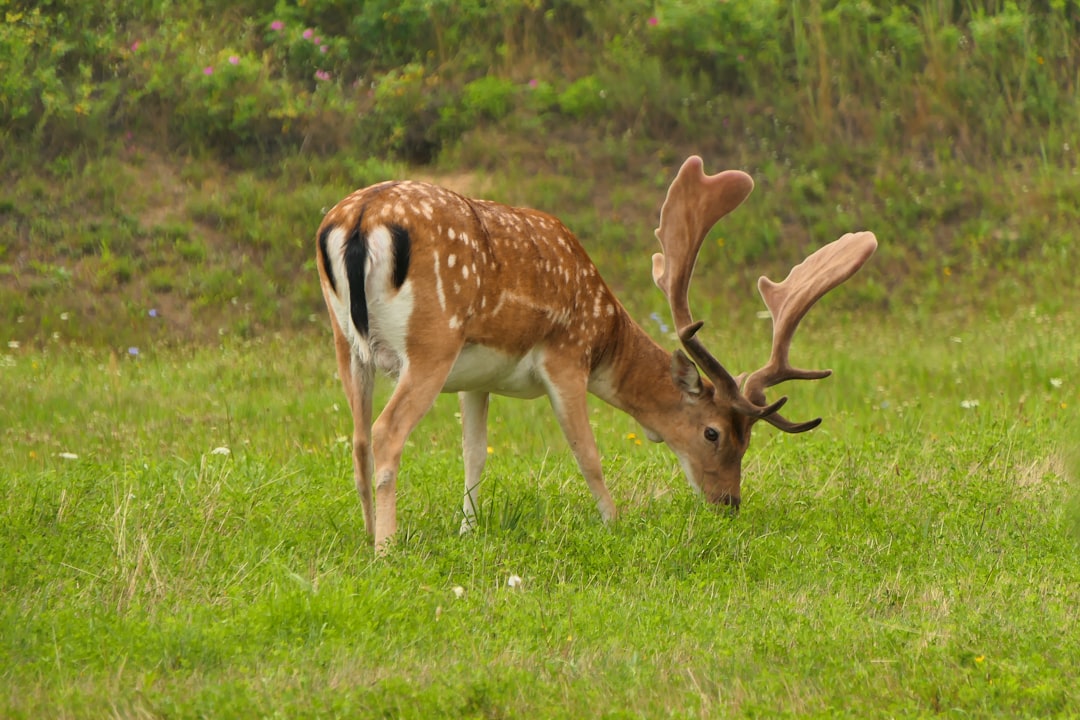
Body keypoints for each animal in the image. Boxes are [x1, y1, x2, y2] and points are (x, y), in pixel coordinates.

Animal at [315, 155, 876, 548]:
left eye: (748, 441)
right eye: (713, 432)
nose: (728, 503)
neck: (605, 329)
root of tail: (360, 219)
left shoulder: (476, 379)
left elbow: (474, 456)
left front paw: (468, 531)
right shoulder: (566, 355)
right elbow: (587, 454)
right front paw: (614, 523)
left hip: (346, 342)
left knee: (358, 438)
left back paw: (368, 533)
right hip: (432, 339)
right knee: (386, 432)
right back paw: (388, 548)